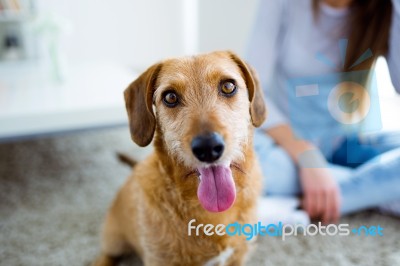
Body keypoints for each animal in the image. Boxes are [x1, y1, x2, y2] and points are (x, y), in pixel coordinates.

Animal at [93, 51, 268, 266]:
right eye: (170, 97)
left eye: (228, 86)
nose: (208, 148)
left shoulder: (238, 256)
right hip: (115, 240)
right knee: (106, 255)